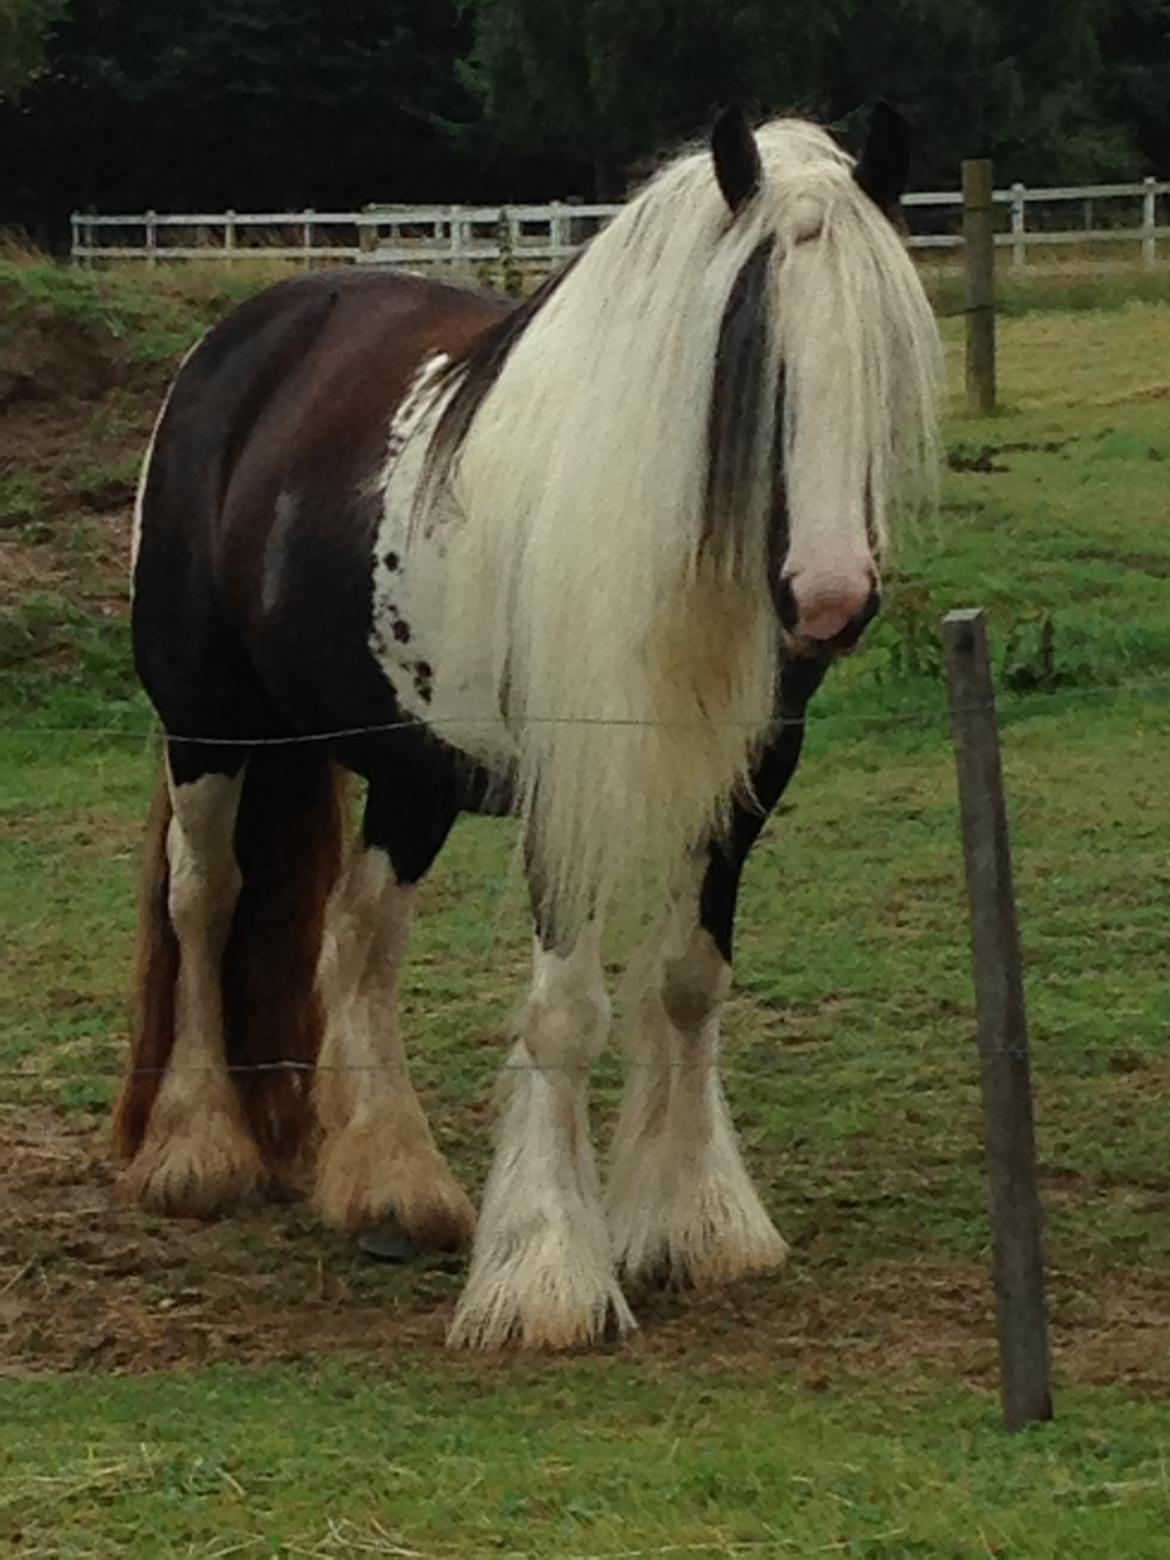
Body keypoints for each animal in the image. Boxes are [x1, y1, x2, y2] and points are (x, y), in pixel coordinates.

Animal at [116, 106, 942, 1354]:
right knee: (205, 902)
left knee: (356, 936)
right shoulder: (570, 779)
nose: (832, 597)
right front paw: (549, 1273)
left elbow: (690, 980)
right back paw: (199, 1148)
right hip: (211, 730)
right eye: (753, 359)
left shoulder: (747, 776)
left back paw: (390, 1186)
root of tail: (245, 338)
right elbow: (564, 1014)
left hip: (411, 769)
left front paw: (696, 1223)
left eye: (883, 352)